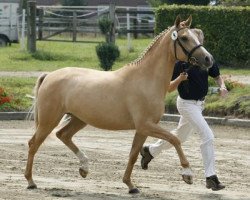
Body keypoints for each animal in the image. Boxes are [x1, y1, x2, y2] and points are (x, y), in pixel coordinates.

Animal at [24, 16, 213, 194]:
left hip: (79, 119)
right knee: (34, 144)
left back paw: (84, 167)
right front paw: (187, 174)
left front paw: (130, 185)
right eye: (184, 38)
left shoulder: (143, 129)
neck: (146, 79)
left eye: (196, 36)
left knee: (63, 135)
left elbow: (133, 155)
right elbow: (175, 139)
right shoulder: (146, 125)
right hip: (49, 120)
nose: (208, 59)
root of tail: (49, 76)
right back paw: (31, 181)